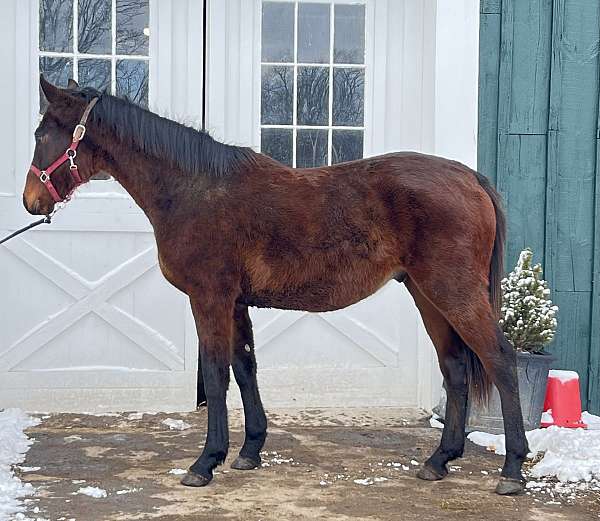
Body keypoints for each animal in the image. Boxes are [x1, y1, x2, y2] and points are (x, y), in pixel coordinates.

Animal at [23, 77, 528, 496]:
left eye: (41, 135)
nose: (31, 201)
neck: (193, 189)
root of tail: (469, 177)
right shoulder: (235, 304)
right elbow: (245, 367)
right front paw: (249, 451)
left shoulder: (210, 299)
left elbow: (216, 373)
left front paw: (205, 462)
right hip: (427, 295)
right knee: (455, 368)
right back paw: (439, 460)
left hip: (453, 293)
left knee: (500, 361)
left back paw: (512, 470)